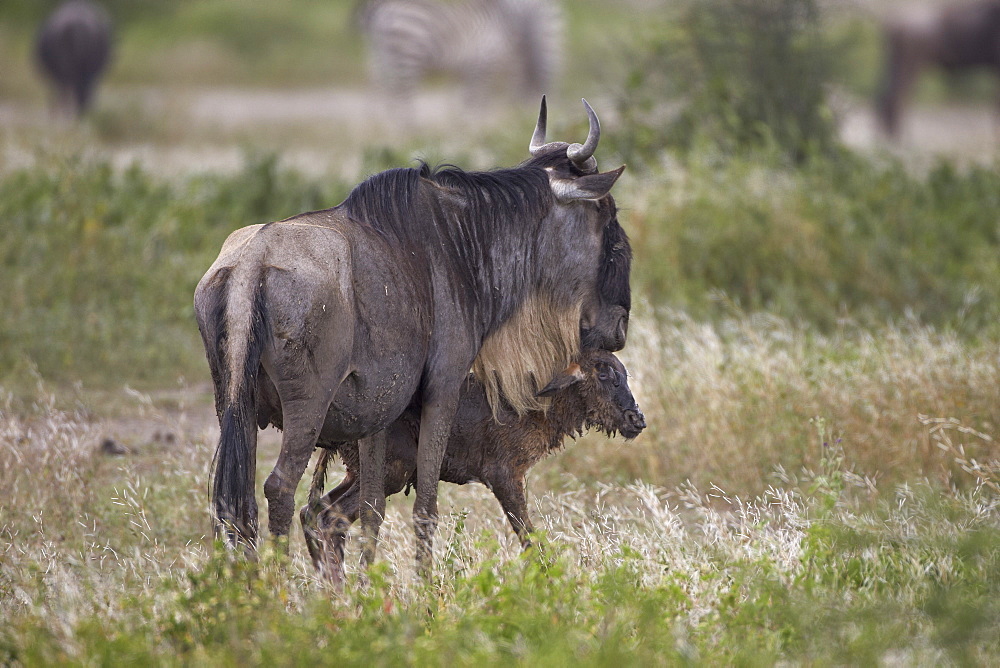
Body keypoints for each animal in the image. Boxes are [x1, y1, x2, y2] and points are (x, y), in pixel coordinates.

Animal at [298, 348, 640, 580]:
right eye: (605, 374)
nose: (636, 420)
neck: (537, 405)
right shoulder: (503, 476)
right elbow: (528, 537)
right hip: (390, 473)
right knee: (330, 518)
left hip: (358, 474)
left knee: (311, 512)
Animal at [360, 0, 564, 105]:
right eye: (546, 15)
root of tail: (383, 12)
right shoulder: (483, 64)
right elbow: (474, 104)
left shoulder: (475, 69)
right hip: (407, 55)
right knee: (402, 98)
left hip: (381, 56)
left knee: (382, 93)